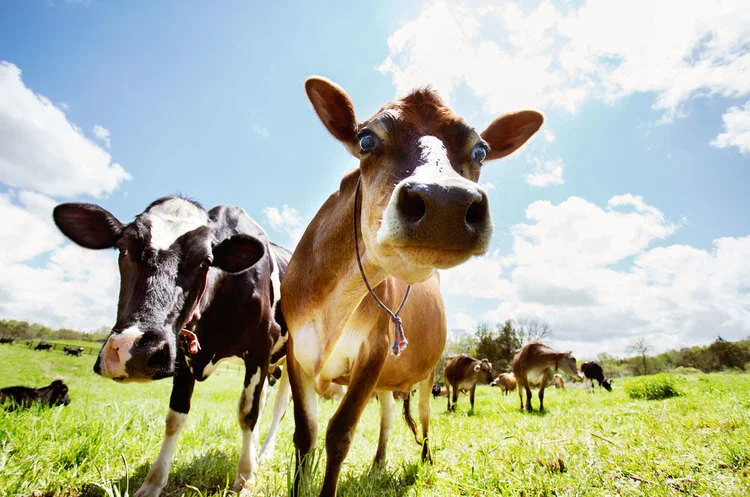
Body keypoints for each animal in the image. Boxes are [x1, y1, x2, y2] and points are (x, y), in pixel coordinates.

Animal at [53, 197, 291, 497]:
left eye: (205, 262)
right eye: (123, 248)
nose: (135, 350)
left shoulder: (261, 346)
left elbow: (247, 412)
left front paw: (246, 478)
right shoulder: (181, 353)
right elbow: (175, 416)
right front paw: (152, 483)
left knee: (277, 407)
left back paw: (263, 454)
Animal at [281, 76, 542, 497]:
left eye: (481, 150)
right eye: (366, 139)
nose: (445, 203)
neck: (332, 305)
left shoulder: (373, 352)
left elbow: (339, 434)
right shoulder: (295, 349)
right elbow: (305, 434)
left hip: (428, 373)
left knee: (423, 417)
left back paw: (425, 459)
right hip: (389, 381)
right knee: (388, 418)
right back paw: (378, 464)